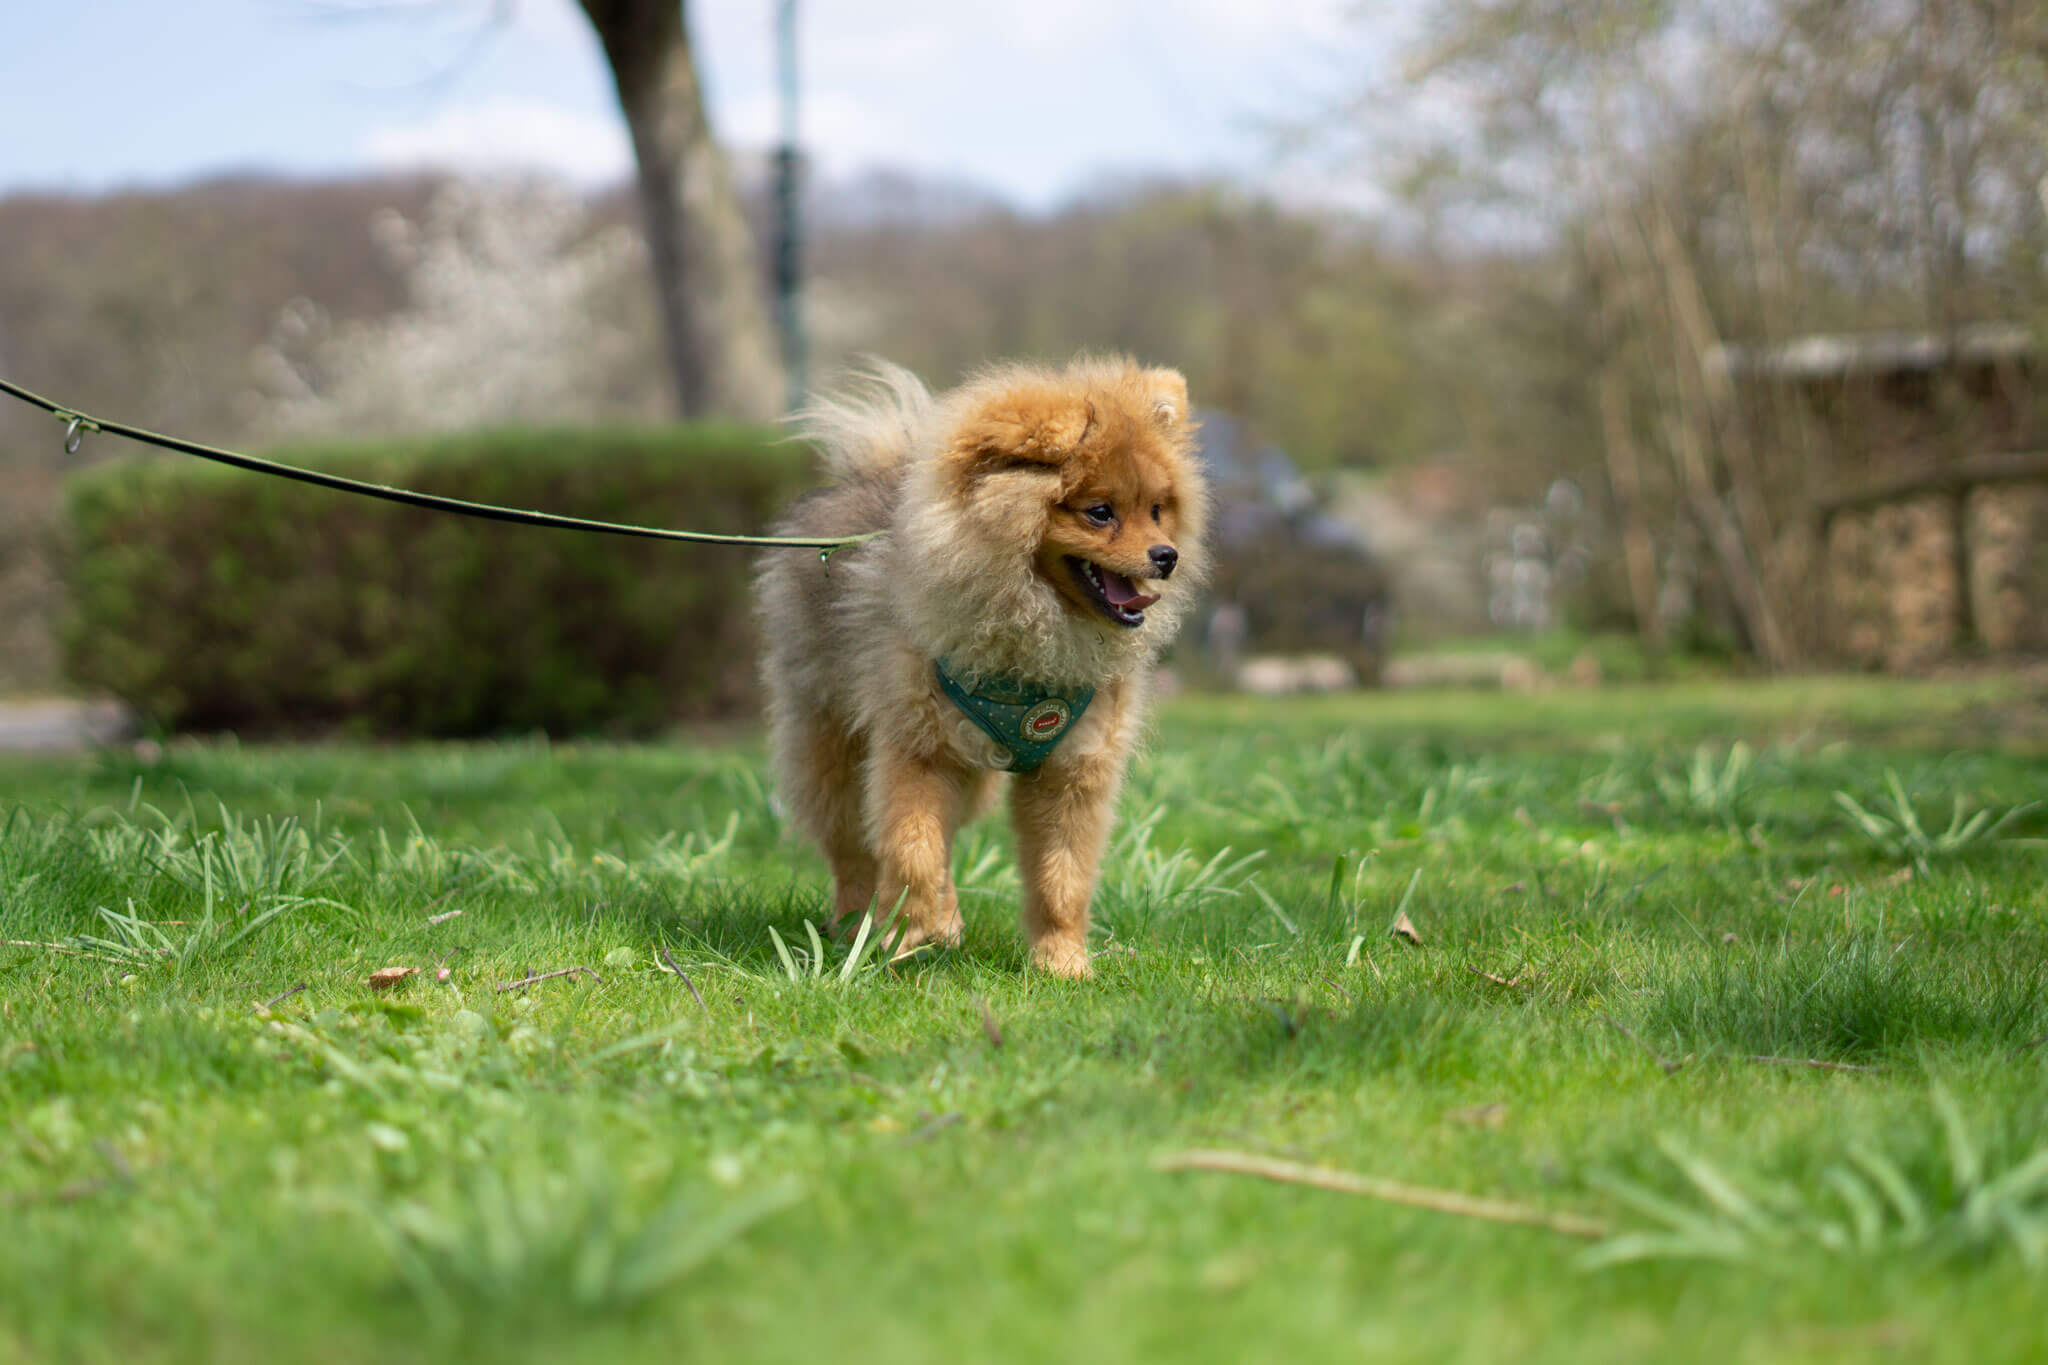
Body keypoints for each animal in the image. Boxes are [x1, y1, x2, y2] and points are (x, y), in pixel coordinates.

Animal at [761, 351, 1204, 970]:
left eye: (1158, 510)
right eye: (1100, 512)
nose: (1167, 556)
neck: (1031, 623)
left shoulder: (1074, 768)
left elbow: (1061, 878)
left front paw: (1062, 963)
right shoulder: (919, 748)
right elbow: (912, 849)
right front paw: (902, 939)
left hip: (971, 771)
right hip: (833, 742)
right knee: (852, 846)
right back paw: (854, 927)